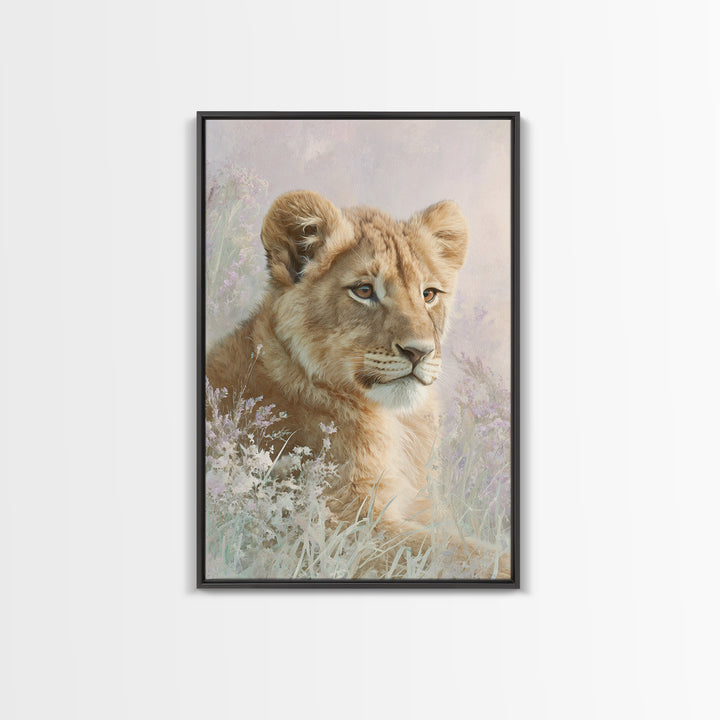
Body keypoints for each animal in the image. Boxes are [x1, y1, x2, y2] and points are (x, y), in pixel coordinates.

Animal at [206, 190, 510, 579]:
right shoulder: (335, 527)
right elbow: (460, 553)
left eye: (428, 294)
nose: (419, 351)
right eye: (364, 291)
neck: (397, 421)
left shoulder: (421, 504)